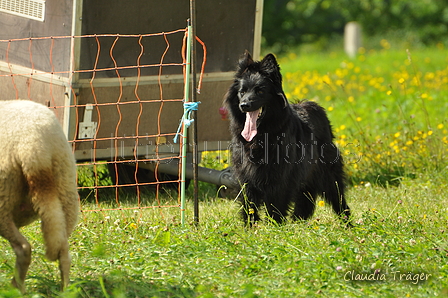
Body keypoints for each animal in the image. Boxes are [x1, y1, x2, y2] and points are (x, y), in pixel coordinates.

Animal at [0, 100, 79, 294]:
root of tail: (34, 146)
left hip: (3, 200)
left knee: (23, 248)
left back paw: (15, 290)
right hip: (66, 187)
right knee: (64, 252)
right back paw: (65, 291)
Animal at [226, 51, 352, 224]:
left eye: (260, 91)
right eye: (242, 92)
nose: (244, 105)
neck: (262, 135)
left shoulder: (279, 179)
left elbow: (275, 207)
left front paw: (275, 227)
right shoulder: (246, 178)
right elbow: (249, 207)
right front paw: (250, 227)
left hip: (329, 177)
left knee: (340, 202)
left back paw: (349, 225)